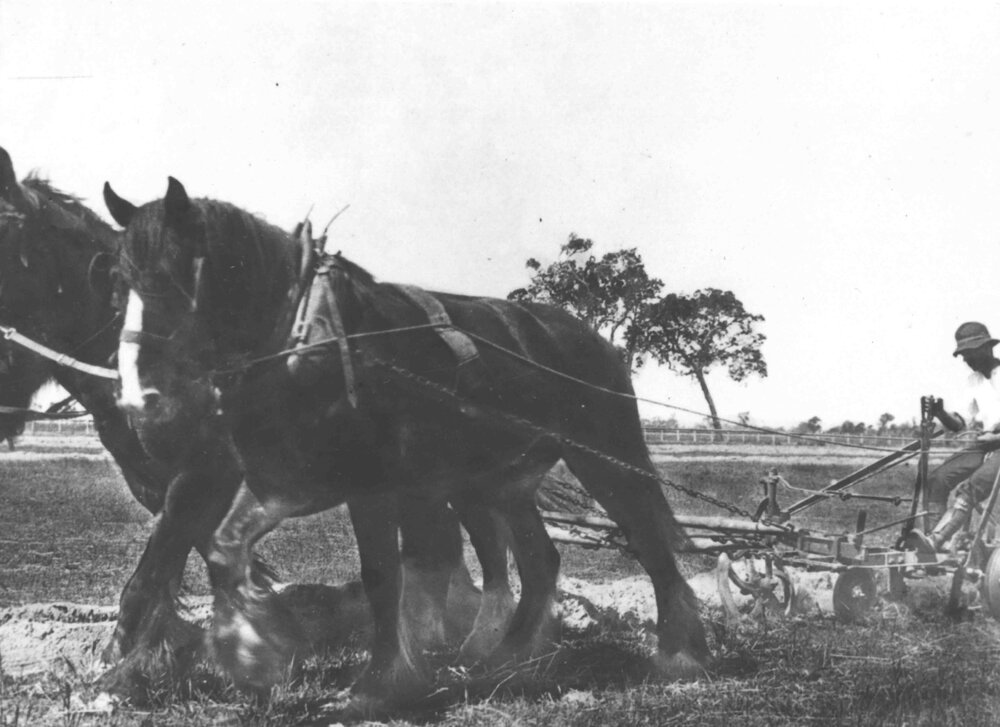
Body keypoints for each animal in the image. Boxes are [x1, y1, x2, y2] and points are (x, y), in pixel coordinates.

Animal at [104, 176, 710, 709]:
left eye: (173, 275)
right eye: (120, 282)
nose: (138, 397)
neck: (306, 338)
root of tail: (593, 339)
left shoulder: (366, 483)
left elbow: (382, 578)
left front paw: (378, 683)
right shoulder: (284, 478)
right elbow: (223, 548)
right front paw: (253, 651)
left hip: (606, 456)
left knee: (648, 543)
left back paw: (680, 654)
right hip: (502, 482)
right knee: (540, 560)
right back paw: (505, 657)